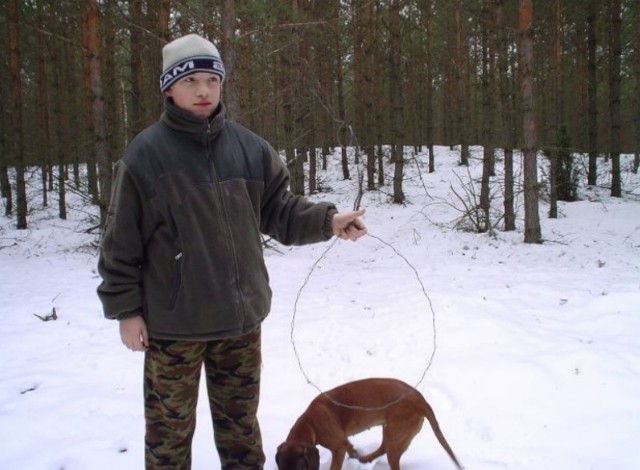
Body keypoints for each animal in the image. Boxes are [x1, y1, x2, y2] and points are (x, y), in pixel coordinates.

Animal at [276, 378, 460, 470]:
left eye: (300, 468)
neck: (310, 424)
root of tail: (420, 399)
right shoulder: (343, 441)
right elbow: (349, 446)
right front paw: (355, 454)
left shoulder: (337, 447)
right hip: (391, 430)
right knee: (383, 447)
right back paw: (365, 458)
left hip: (396, 433)